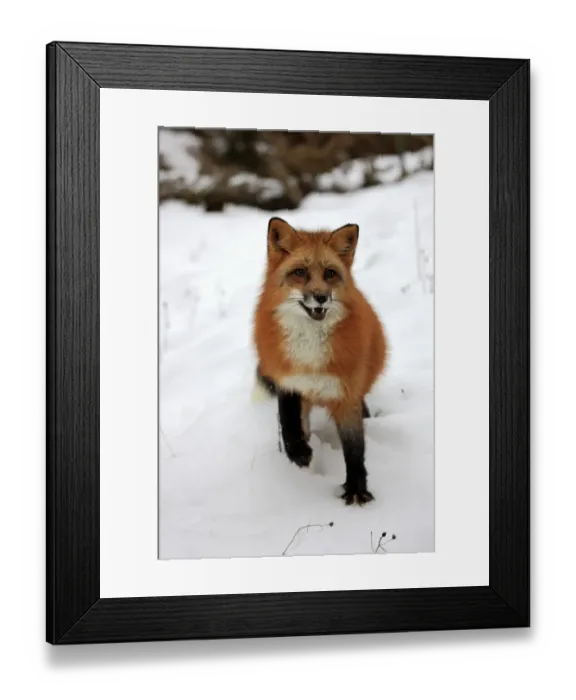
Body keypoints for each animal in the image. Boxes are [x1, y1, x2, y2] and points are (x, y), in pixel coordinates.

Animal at [252, 216, 388, 505]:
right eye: (300, 272)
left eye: (329, 274)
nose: (321, 297)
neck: (310, 353)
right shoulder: (289, 382)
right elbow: (289, 425)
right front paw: (299, 454)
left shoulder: (346, 393)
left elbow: (354, 447)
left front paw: (356, 490)